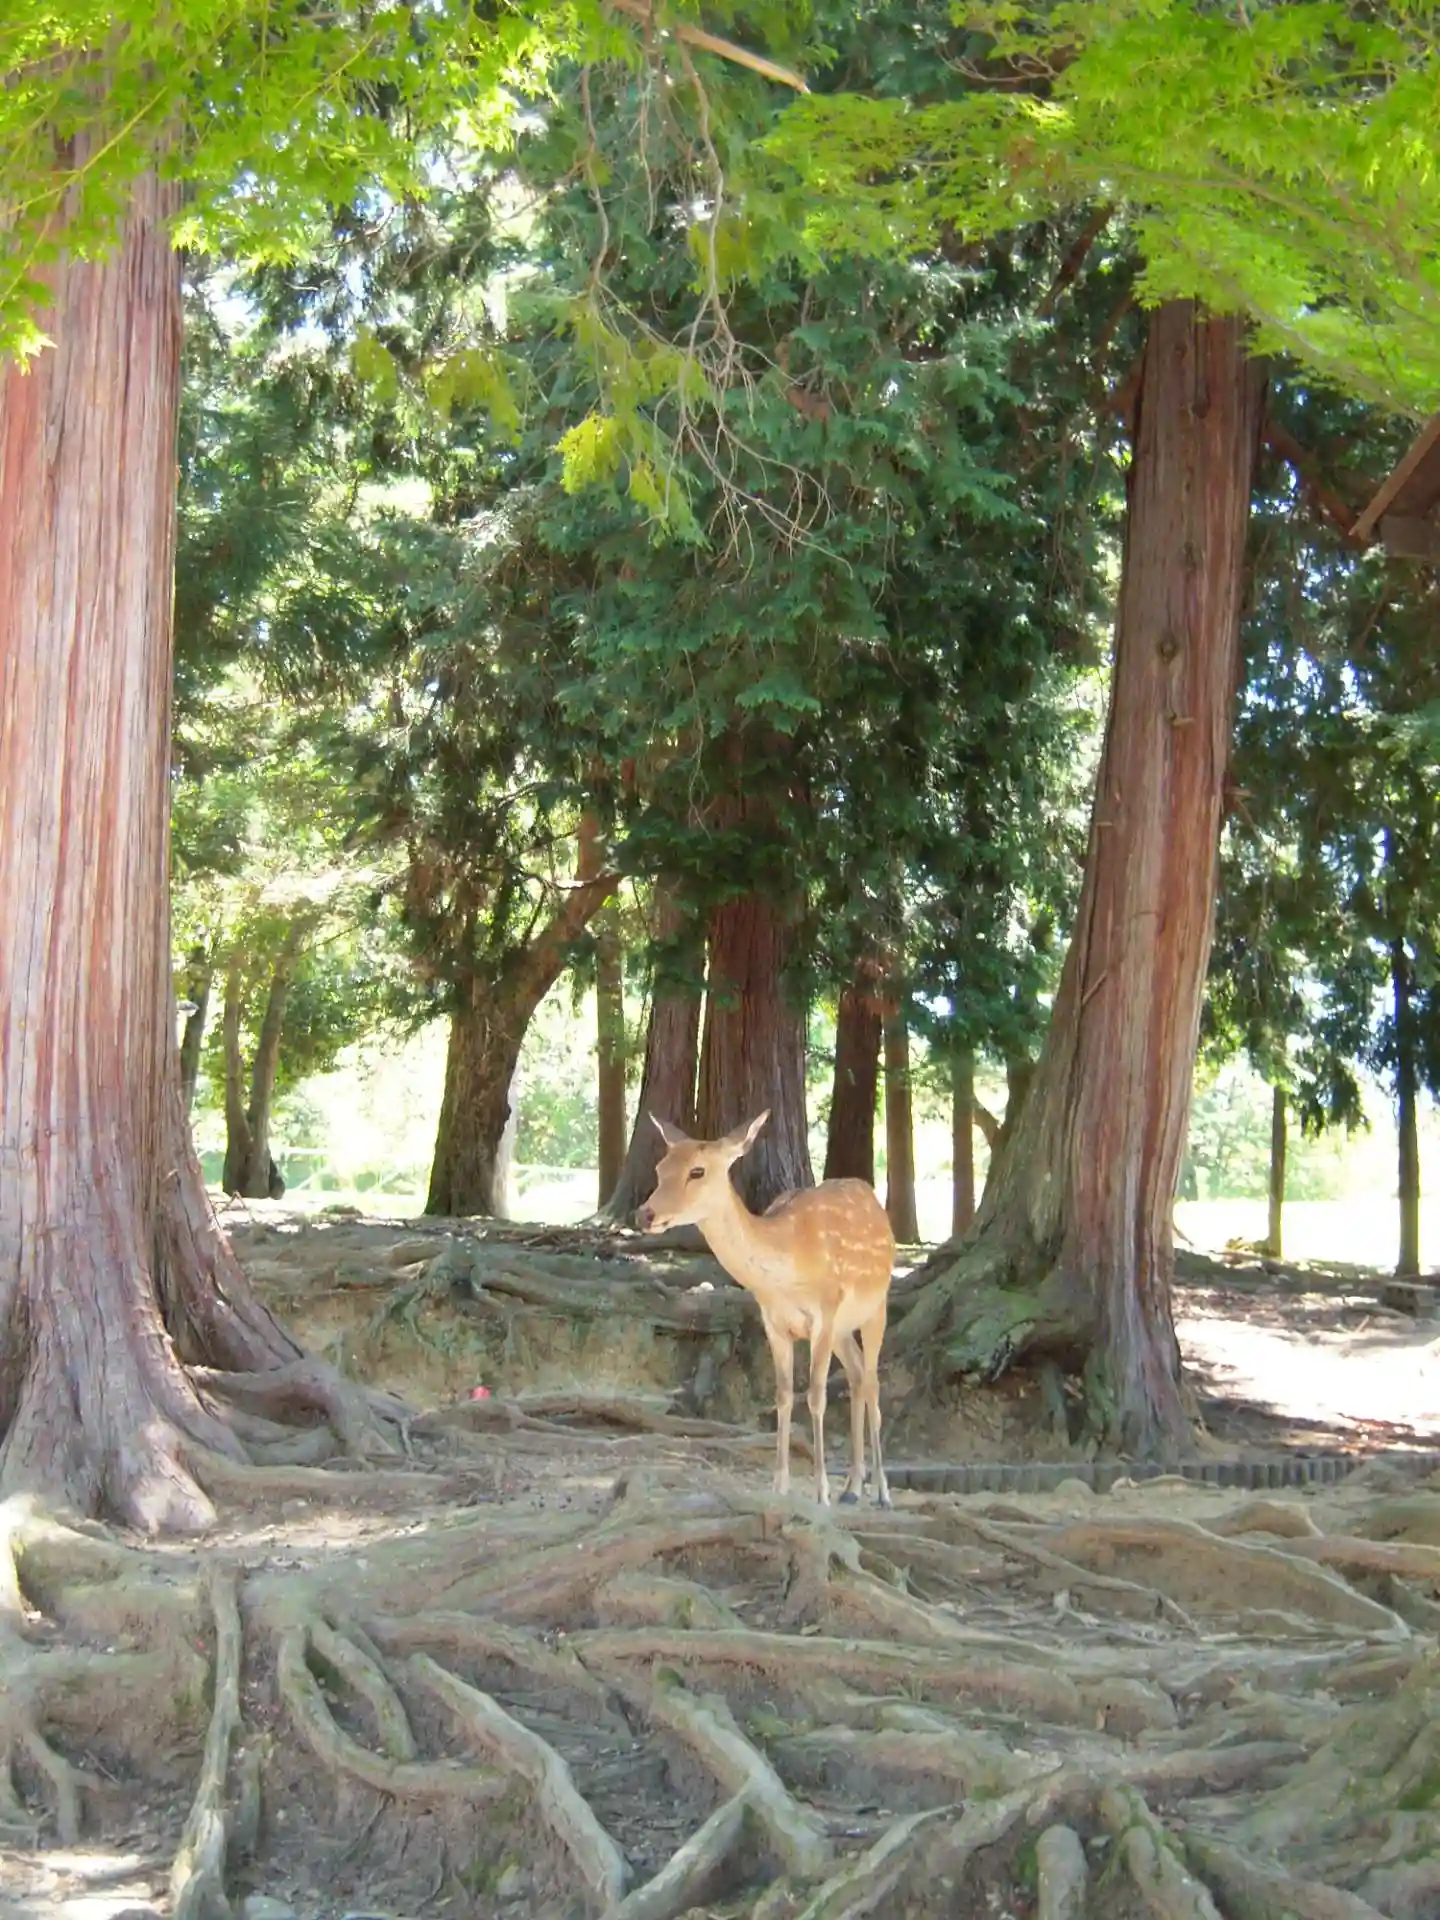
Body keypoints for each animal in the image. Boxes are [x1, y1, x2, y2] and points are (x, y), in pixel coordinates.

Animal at [637, 1110, 894, 1507]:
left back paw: (881, 1490)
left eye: (698, 1170)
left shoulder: (824, 1313)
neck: (786, 1272)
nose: (645, 1214)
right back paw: (852, 1488)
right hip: (842, 1328)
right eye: (660, 1167)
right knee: (855, 1375)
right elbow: (783, 1397)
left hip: (875, 1304)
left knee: (872, 1382)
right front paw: (780, 1486)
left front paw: (820, 1492)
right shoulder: (773, 1322)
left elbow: (816, 1397)